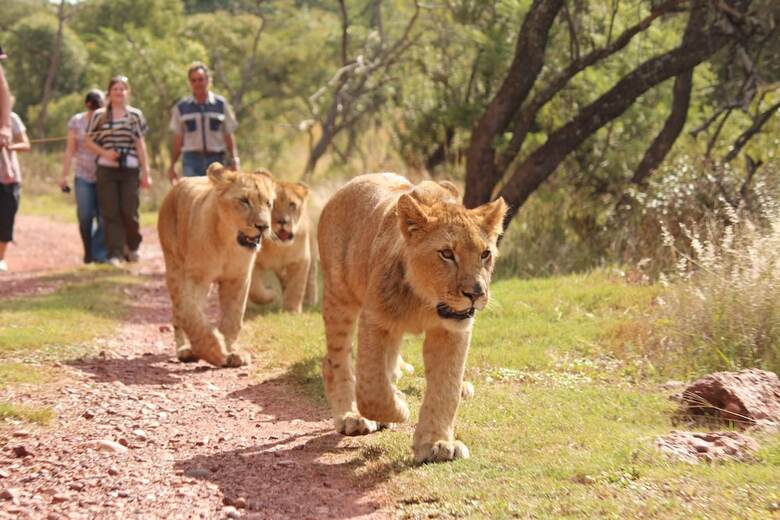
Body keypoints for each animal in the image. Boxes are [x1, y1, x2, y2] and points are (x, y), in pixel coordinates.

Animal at [157, 163, 276, 368]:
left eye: (268, 203)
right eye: (244, 201)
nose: (263, 226)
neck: (227, 244)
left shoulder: (238, 278)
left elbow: (233, 317)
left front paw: (233, 353)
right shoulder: (196, 277)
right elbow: (191, 314)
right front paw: (214, 351)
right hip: (174, 268)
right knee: (178, 313)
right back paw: (184, 350)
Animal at [248, 180, 317, 313]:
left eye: (292, 204)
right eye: (271, 204)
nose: (282, 221)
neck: (279, 248)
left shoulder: (301, 261)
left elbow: (296, 286)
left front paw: (292, 310)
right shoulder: (255, 262)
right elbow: (255, 289)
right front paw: (271, 294)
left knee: (311, 278)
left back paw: (310, 301)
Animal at [318, 173, 507, 463]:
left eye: (485, 254)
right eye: (447, 254)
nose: (476, 293)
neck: (424, 302)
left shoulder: (451, 332)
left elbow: (445, 388)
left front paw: (438, 443)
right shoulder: (375, 319)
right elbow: (371, 388)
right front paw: (398, 409)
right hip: (339, 296)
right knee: (335, 361)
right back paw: (351, 416)